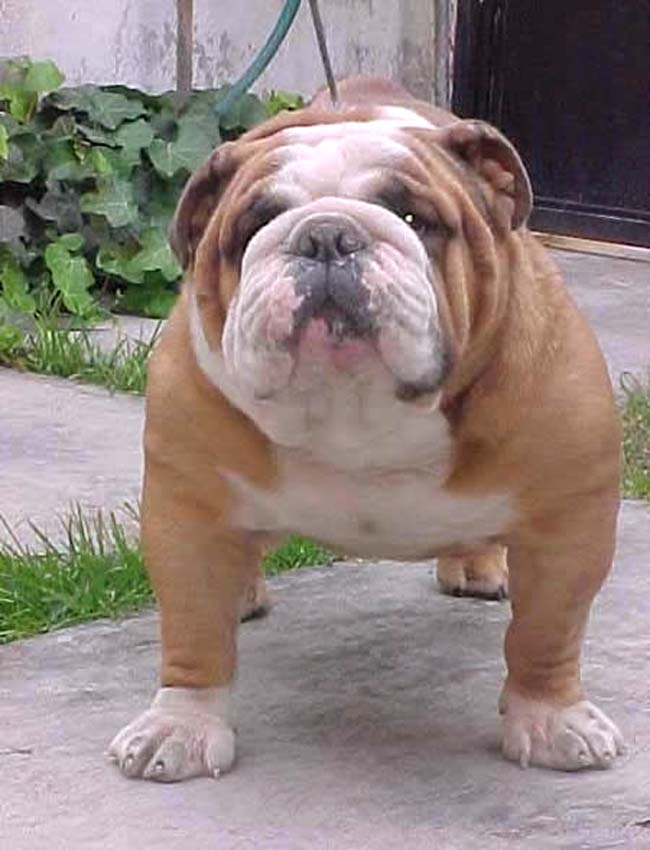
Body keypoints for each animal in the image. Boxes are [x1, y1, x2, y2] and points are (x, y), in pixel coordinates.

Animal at [109, 76, 624, 781]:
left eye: (413, 220)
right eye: (253, 226)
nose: (327, 236)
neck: (357, 412)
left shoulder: (569, 522)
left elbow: (547, 632)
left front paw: (551, 720)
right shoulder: (187, 511)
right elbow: (193, 631)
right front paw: (180, 725)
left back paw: (477, 565)